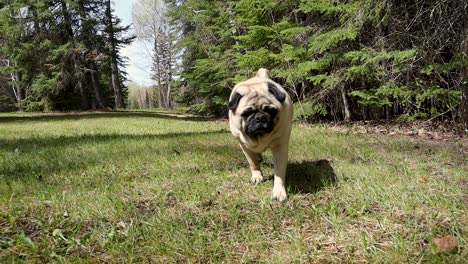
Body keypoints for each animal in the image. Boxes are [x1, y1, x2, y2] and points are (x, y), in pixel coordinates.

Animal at [228, 68, 292, 202]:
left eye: (270, 111)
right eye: (247, 113)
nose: (260, 117)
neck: (259, 136)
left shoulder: (280, 147)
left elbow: (279, 171)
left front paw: (279, 191)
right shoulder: (245, 146)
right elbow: (253, 162)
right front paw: (257, 176)